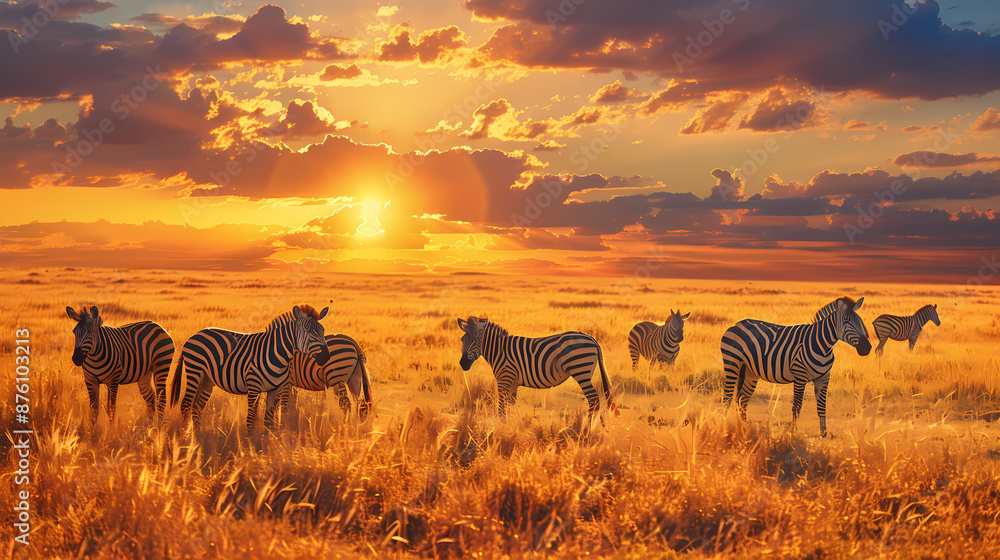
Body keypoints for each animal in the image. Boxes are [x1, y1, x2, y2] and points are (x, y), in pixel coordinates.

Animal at [170, 306, 330, 434]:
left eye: (323, 330)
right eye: (307, 330)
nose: (326, 357)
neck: (277, 354)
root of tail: (194, 335)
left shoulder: (274, 389)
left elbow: (268, 419)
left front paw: (267, 444)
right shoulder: (254, 387)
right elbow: (251, 419)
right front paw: (249, 445)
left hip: (207, 381)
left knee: (196, 408)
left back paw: (197, 436)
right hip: (195, 371)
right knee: (186, 404)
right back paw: (187, 437)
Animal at [456, 318, 616, 422]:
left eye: (475, 341)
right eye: (462, 341)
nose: (462, 364)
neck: (500, 351)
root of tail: (591, 338)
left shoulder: (504, 379)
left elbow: (501, 407)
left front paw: (501, 428)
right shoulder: (512, 383)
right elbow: (510, 406)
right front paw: (512, 428)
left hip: (581, 373)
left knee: (594, 399)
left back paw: (588, 427)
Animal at [724, 296, 872, 436]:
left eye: (860, 322)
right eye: (847, 322)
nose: (867, 348)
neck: (822, 346)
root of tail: (738, 323)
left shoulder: (824, 377)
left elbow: (822, 406)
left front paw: (824, 433)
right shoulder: (800, 375)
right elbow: (797, 407)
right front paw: (793, 433)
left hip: (750, 372)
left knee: (742, 399)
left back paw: (744, 428)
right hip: (732, 364)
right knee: (727, 398)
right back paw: (725, 428)